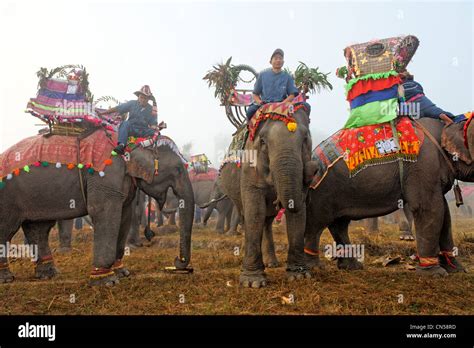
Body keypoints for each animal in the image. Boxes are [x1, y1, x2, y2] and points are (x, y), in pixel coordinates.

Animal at [0, 134, 193, 286]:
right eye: (178, 169)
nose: (178, 262)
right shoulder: (106, 177)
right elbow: (103, 212)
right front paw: (106, 281)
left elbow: (124, 216)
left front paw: (122, 273)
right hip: (7, 197)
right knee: (7, 230)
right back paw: (7, 279)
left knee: (38, 228)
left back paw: (49, 274)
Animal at [219, 106, 314, 288]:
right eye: (262, 142)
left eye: (306, 138)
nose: (314, 167)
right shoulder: (249, 166)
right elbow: (255, 211)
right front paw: (253, 282)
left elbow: (298, 212)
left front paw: (299, 276)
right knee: (246, 216)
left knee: (267, 221)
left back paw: (272, 263)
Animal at [306, 118, 472, 276]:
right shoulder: (423, 166)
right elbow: (428, 208)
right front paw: (434, 273)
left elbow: (444, 213)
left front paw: (457, 270)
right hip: (322, 190)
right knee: (317, 223)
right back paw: (314, 268)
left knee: (339, 224)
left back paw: (352, 266)